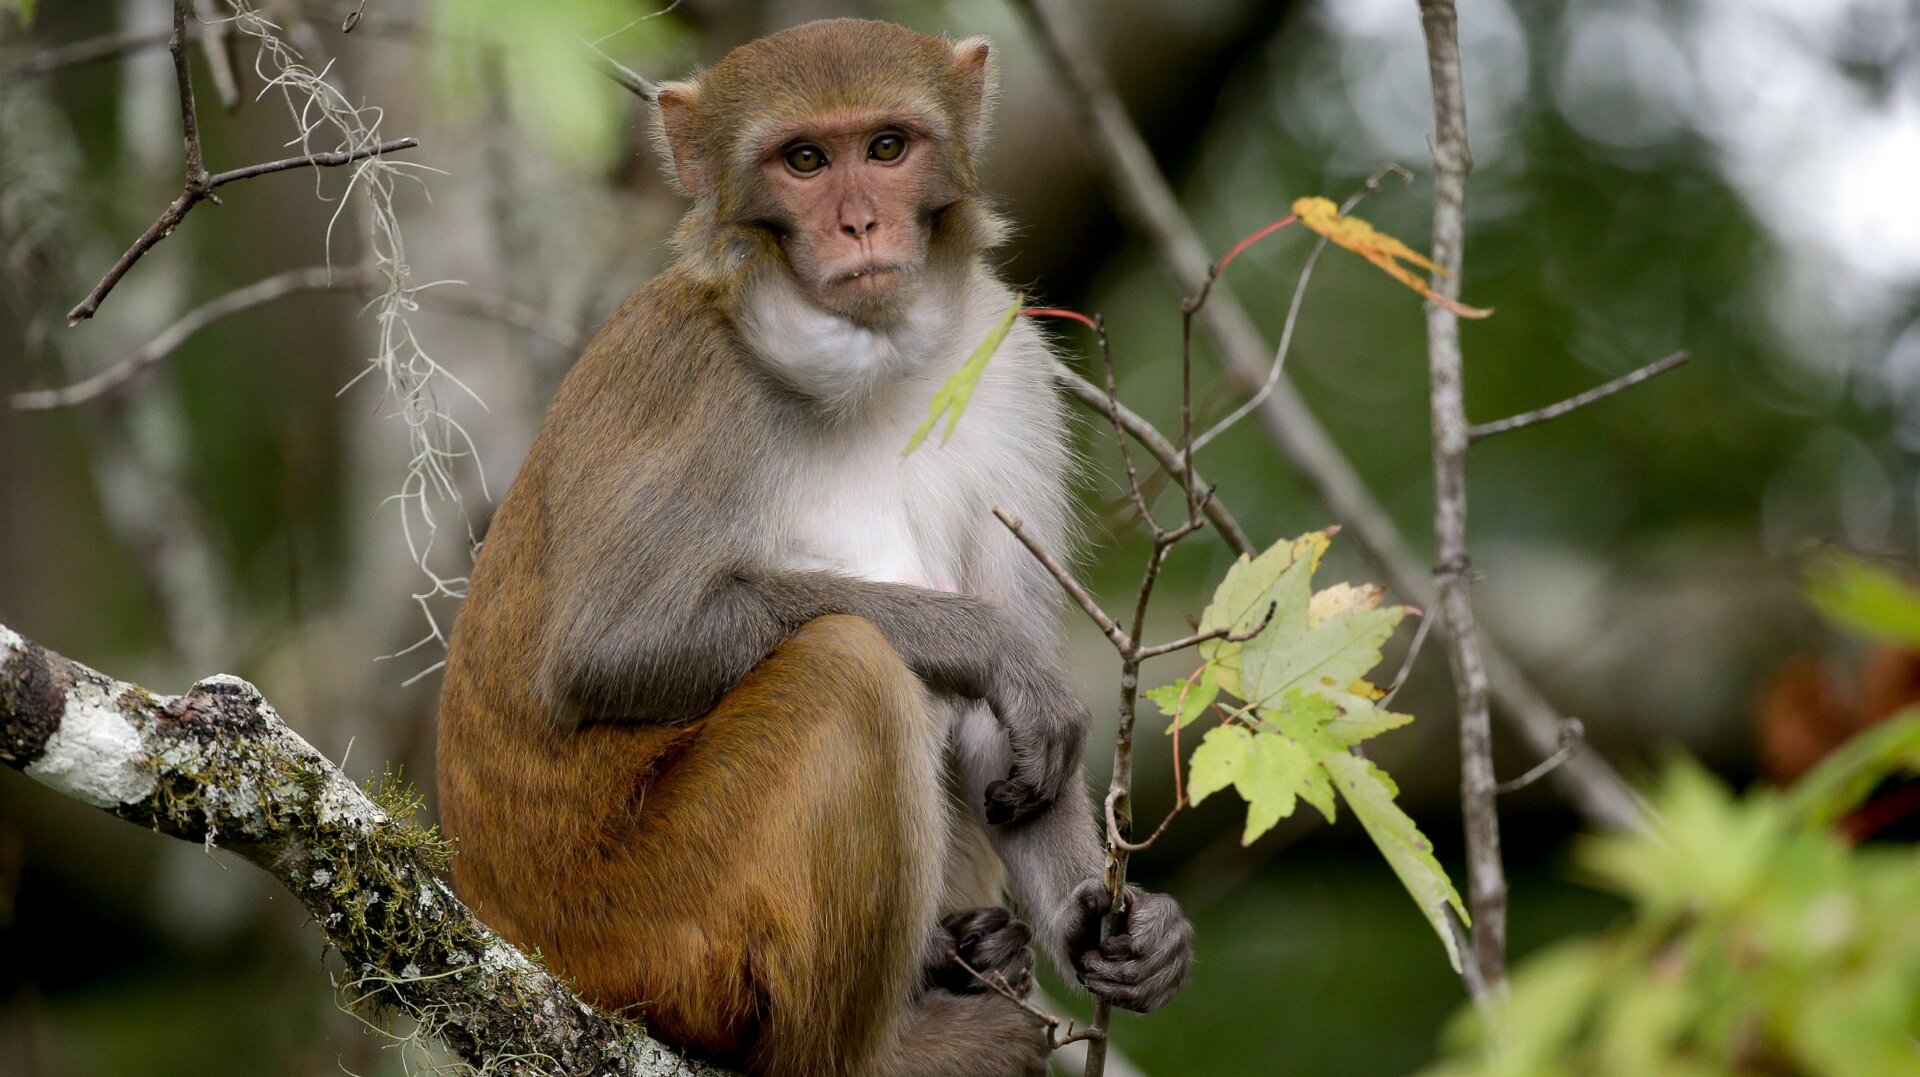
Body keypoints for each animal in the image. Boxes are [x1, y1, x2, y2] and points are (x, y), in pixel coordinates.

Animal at [436, 19, 1194, 1077]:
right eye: (803, 161)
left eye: (886, 148)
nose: (859, 225)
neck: (871, 362)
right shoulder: (690, 376)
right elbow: (611, 650)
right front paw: (989, 644)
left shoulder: (1008, 369)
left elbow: (1006, 748)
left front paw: (1121, 928)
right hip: (652, 925)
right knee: (849, 670)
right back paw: (897, 1048)